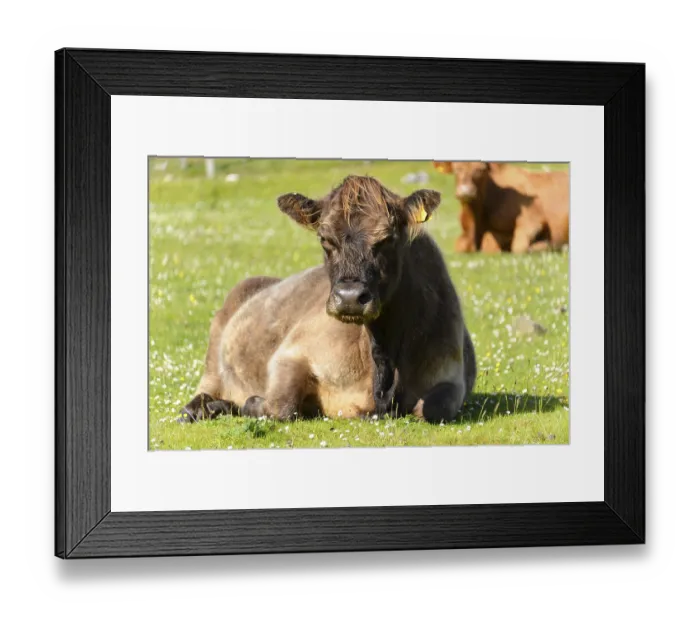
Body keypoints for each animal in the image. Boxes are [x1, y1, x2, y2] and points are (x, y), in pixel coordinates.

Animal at [180, 175, 477, 425]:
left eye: (387, 239)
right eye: (324, 239)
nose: (350, 298)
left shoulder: (452, 375)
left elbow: (433, 409)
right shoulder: (290, 352)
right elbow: (281, 406)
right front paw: (251, 403)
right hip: (214, 354)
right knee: (206, 388)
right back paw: (199, 409)